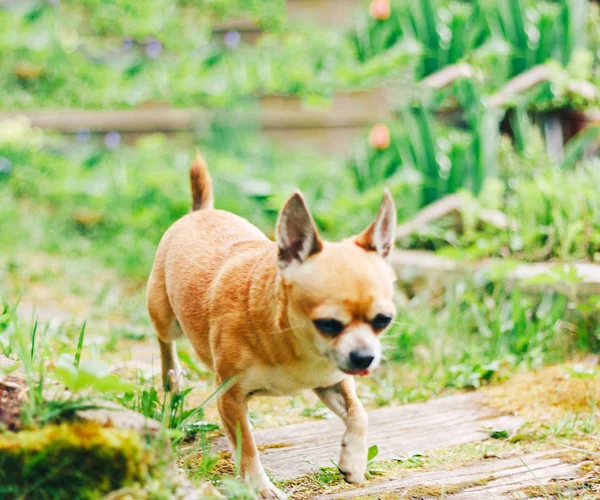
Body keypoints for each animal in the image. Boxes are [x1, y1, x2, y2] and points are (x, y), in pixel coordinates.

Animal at [146, 150, 398, 498]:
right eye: (328, 324)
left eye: (383, 321)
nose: (364, 357)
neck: (292, 344)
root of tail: (201, 211)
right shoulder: (230, 396)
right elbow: (248, 447)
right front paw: (260, 486)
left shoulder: (331, 382)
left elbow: (359, 414)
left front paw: (354, 460)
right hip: (165, 316)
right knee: (165, 342)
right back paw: (172, 376)